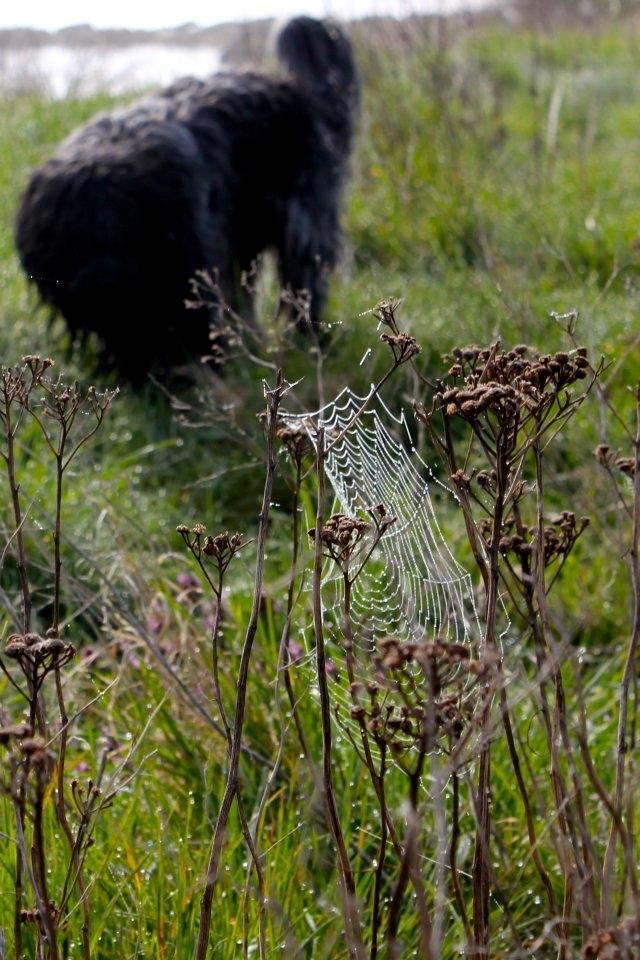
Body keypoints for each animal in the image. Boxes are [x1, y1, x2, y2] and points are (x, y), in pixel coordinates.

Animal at [15, 15, 358, 376]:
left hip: (303, 222)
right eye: (75, 233)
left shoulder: (190, 264)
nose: (103, 280)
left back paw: (308, 342)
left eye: (125, 226)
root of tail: (295, 89)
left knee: (304, 284)